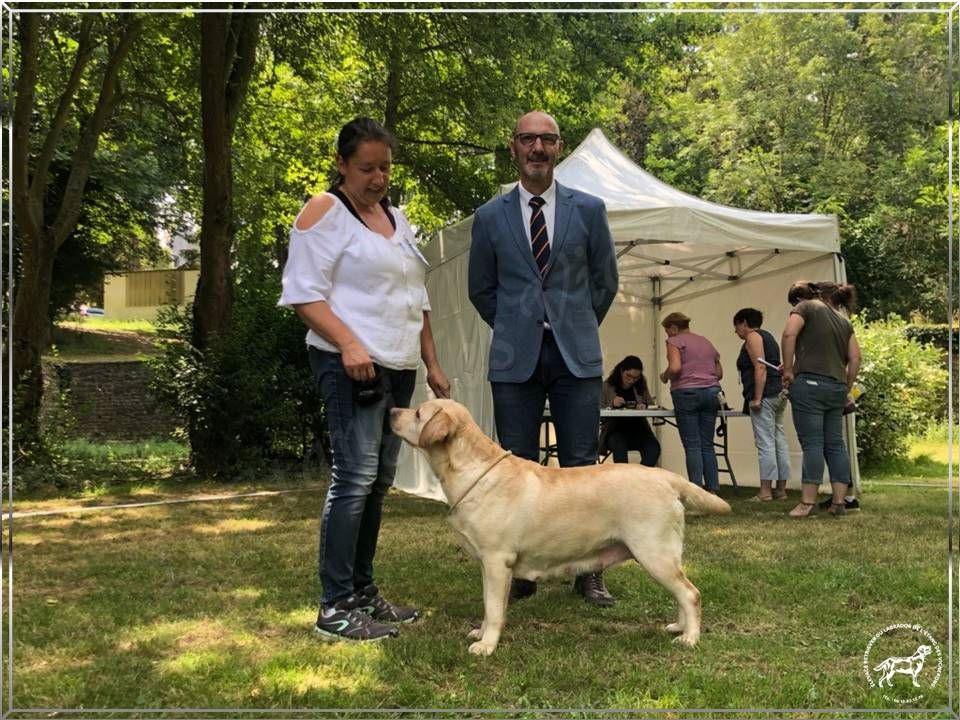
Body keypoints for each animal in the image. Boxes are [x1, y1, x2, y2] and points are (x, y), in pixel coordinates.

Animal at [388, 400, 728, 660]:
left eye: (417, 413)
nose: (391, 410)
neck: (474, 472)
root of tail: (665, 477)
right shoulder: (487, 565)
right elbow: (487, 605)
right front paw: (481, 632)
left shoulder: (497, 560)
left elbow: (494, 608)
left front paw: (487, 645)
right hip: (663, 556)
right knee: (682, 593)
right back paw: (679, 627)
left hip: (654, 553)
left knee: (691, 593)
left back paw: (690, 638)